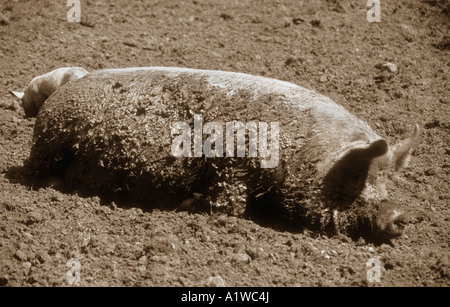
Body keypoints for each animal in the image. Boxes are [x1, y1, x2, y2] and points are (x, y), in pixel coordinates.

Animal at [28, 67, 420, 243]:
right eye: (357, 175)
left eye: (388, 180)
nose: (400, 216)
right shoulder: (231, 165)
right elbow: (228, 202)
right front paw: (206, 211)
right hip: (48, 146)